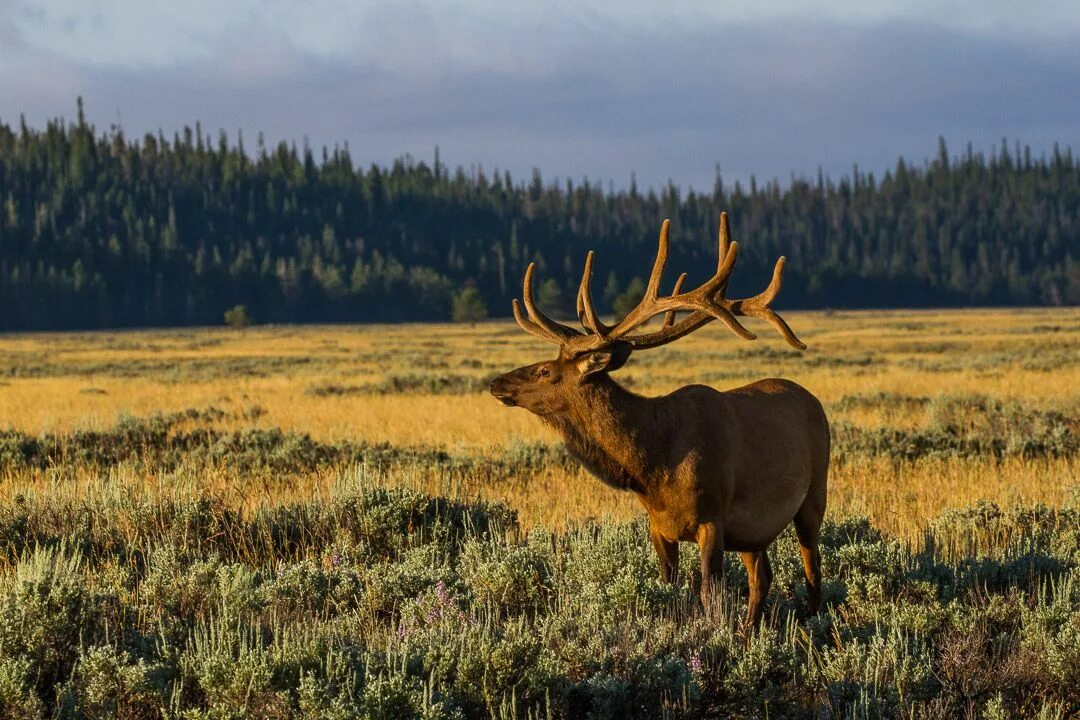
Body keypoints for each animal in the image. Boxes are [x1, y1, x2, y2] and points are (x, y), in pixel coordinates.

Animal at [494, 213, 829, 630]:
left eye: (544, 371)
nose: (496, 382)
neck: (654, 464)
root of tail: (813, 400)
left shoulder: (712, 518)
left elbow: (708, 595)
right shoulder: (659, 526)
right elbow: (669, 587)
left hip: (814, 495)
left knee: (813, 570)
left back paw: (814, 623)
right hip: (753, 531)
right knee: (761, 578)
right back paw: (750, 632)